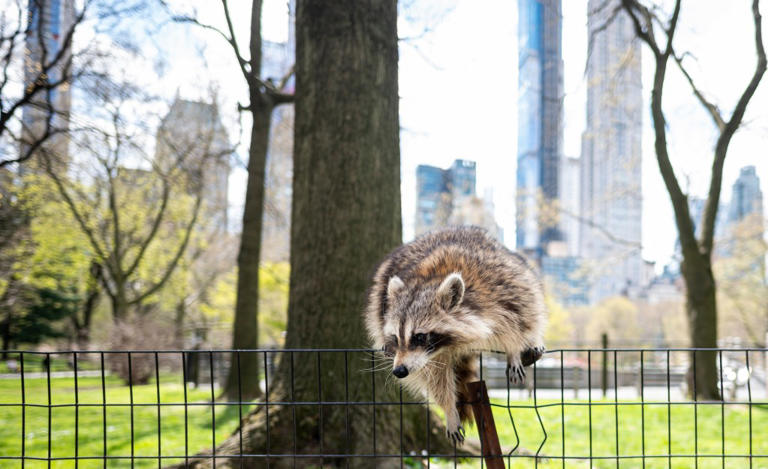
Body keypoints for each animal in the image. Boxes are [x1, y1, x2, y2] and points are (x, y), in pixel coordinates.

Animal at [364, 226, 546, 444]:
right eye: (395, 337)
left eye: (419, 337)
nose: (399, 371)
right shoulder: (431, 357)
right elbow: (436, 379)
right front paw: (449, 409)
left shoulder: (501, 286)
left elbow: (518, 317)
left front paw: (513, 350)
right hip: (380, 293)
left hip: (516, 267)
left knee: (533, 302)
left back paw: (533, 341)